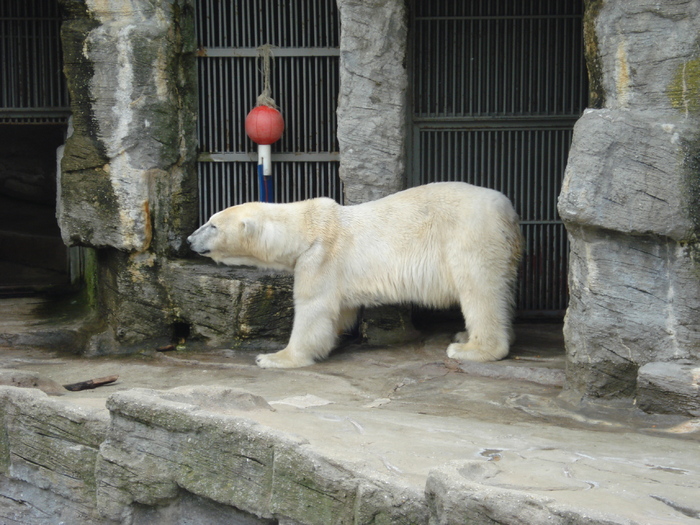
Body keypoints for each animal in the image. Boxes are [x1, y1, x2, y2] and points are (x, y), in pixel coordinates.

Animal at [187, 182, 522, 369]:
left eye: (212, 224)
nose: (189, 240)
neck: (306, 229)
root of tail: (508, 211)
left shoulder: (319, 258)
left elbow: (313, 310)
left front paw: (275, 357)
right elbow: (341, 312)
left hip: (471, 236)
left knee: (479, 289)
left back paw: (472, 348)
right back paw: (464, 334)